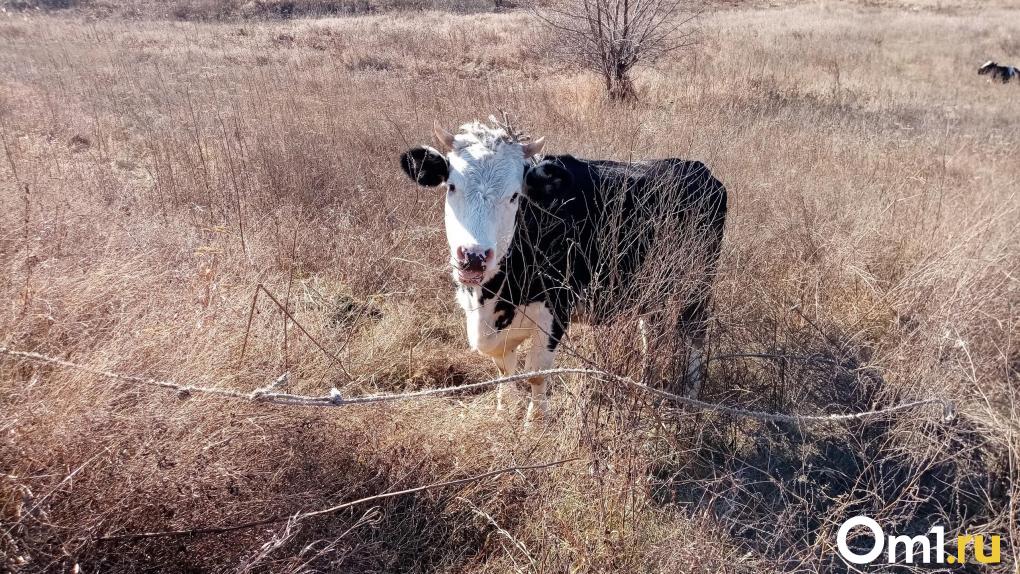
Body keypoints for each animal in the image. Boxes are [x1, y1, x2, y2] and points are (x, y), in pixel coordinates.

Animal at [395, 119, 726, 424]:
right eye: (452, 186)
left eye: (515, 196)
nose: (474, 257)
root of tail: (697, 169)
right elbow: (503, 368)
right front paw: (503, 412)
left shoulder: (556, 308)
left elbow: (536, 373)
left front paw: (535, 424)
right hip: (650, 288)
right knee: (652, 332)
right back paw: (644, 383)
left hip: (699, 282)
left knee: (695, 332)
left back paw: (691, 395)